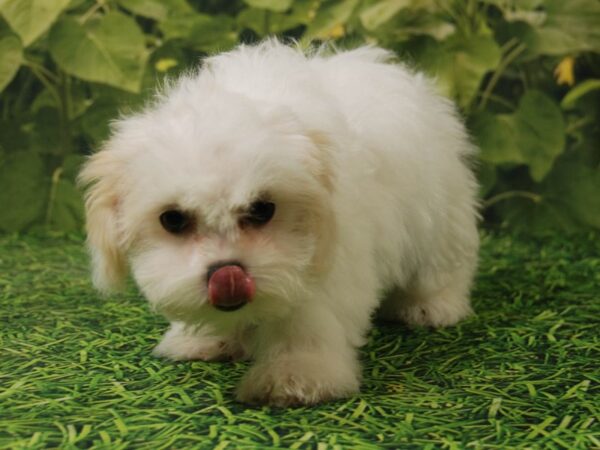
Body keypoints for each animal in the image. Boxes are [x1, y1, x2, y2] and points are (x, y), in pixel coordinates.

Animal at [79, 40, 480, 408]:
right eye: (173, 219)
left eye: (262, 210)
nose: (225, 274)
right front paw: (204, 339)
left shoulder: (332, 257)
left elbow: (307, 318)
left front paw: (298, 375)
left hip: (440, 214)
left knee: (442, 265)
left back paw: (431, 306)